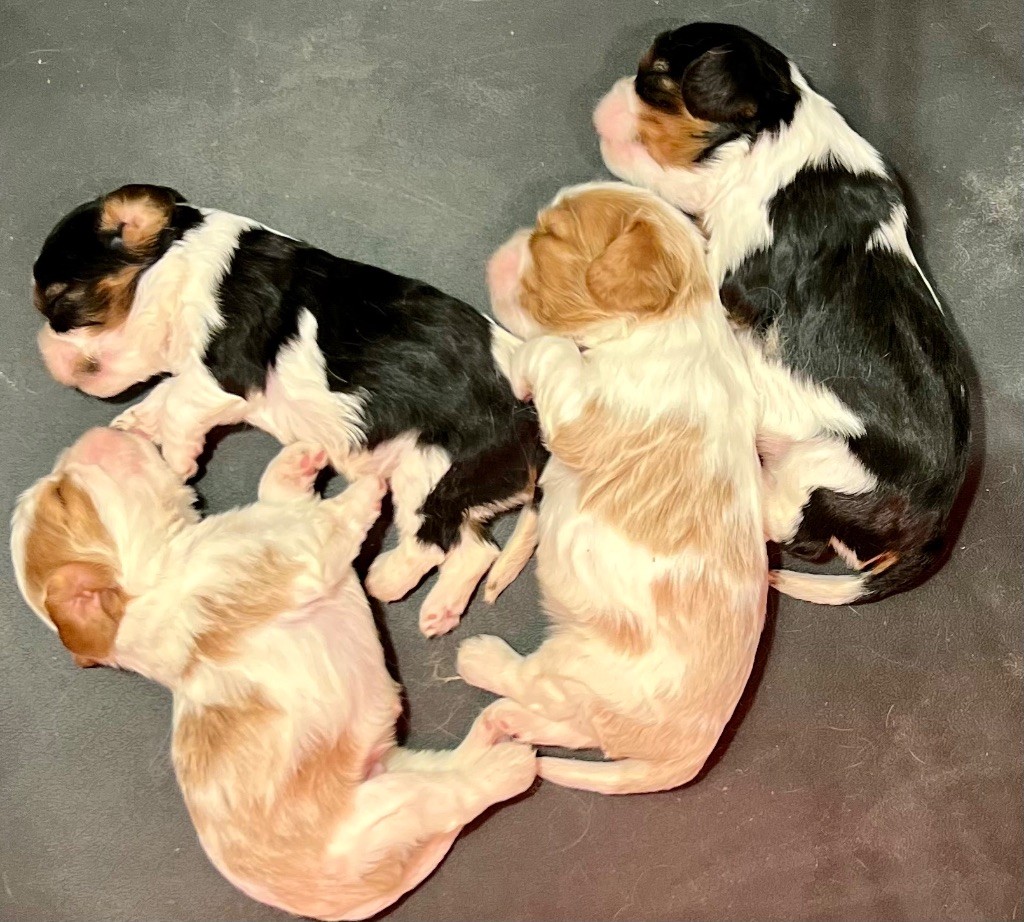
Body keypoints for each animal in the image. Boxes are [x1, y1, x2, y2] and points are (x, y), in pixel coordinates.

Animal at [9, 432, 536, 922]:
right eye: (63, 497)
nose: (95, 433)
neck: (161, 573)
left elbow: (278, 491)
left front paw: (298, 461)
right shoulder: (300, 548)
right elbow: (334, 515)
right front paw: (368, 480)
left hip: (402, 768)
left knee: (453, 770)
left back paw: (493, 730)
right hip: (387, 809)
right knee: (456, 796)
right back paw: (506, 767)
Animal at [32, 183, 544, 639]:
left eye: (59, 305)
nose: (43, 351)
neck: (178, 262)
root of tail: (536, 430)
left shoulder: (224, 375)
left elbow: (178, 403)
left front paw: (177, 461)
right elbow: (166, 393)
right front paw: (137, 422)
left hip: (430, 471)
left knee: (432, 543)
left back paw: (384, 578)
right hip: (456, 489)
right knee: (476, 549)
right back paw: (438, 612)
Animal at [458, 183, 770, 794]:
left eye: (552, 236)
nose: (499, 253)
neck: (671, 326)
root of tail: (689, 756)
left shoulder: (589, 416)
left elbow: (554, 349)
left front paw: (525, 363)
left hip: (582, 660)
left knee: (536, 683)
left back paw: (480, 659)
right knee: (569, 722)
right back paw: (506, 725)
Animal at [593, 21, 966, 606]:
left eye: (654, 78)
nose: (602, 104)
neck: (778, 137)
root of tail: (936, 525)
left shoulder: (734, 282)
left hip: (822, 471)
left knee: (795, 531)